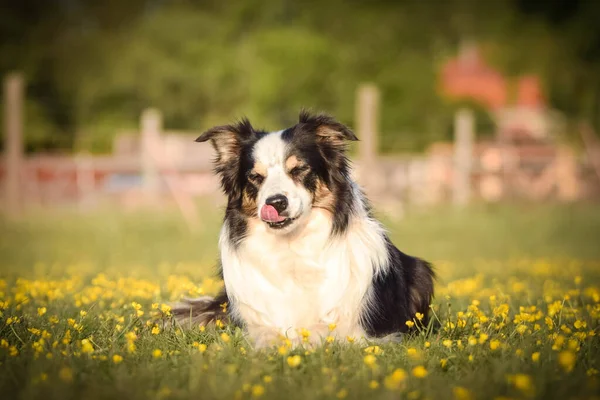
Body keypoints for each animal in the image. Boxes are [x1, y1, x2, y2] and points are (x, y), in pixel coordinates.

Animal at [171, 111, 434, 348]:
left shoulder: (359, 329)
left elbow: (322, 332)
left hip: (421, 273)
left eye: (299, 169)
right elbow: (266, 334)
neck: (292, 246)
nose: (276, 203)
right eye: (255, 177)